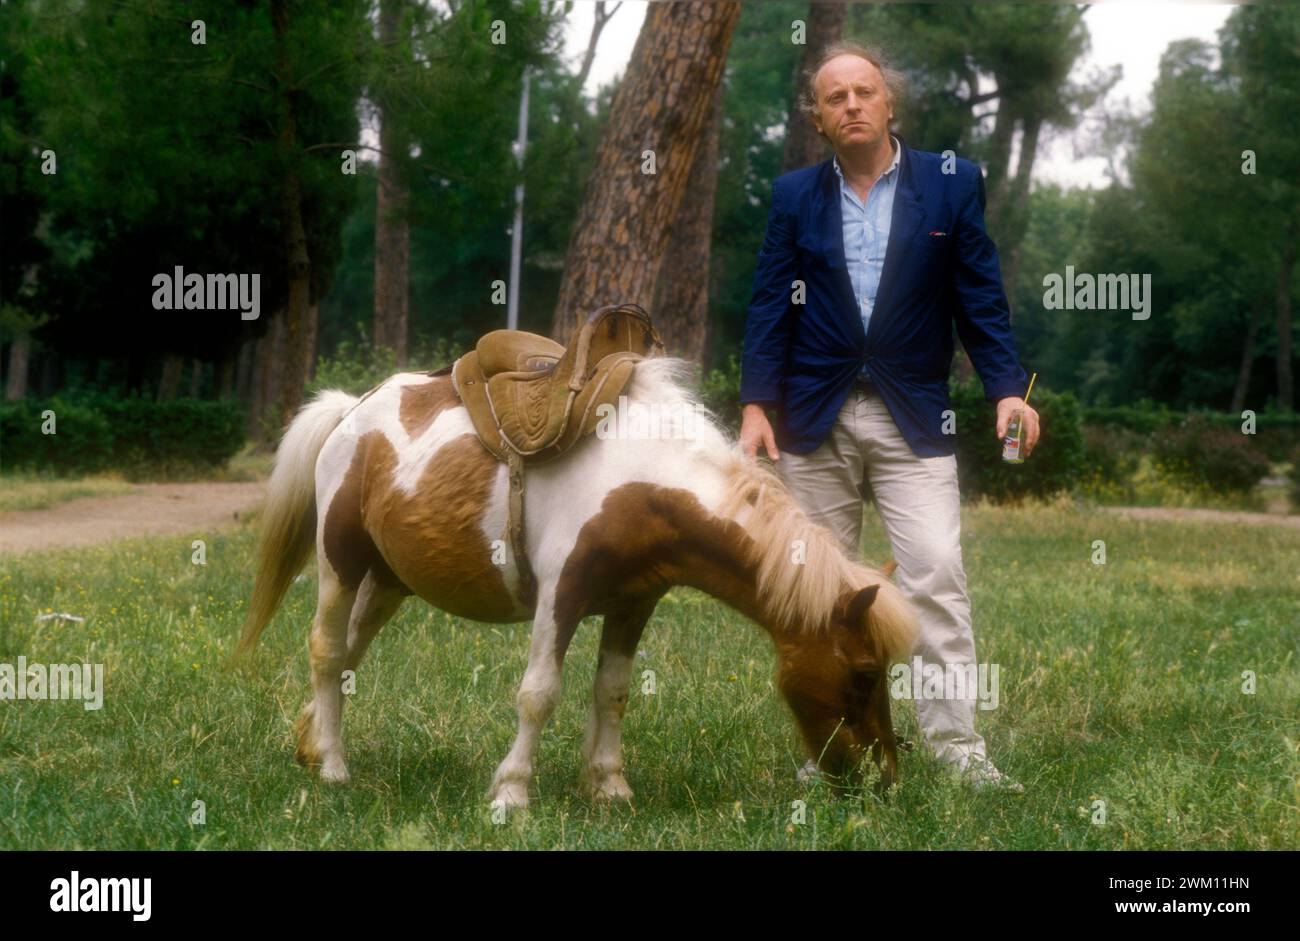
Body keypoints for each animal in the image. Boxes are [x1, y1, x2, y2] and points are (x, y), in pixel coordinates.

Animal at [236, 357, 918, 809]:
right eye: (864, 672)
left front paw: (609, 785)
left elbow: (612, 692)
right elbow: (538, 694)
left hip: (388, 582)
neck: (645, 481)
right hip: (341, 564)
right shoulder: (560, 597)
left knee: (349, 654)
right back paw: (333, 767)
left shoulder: (634, 605)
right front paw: (511, 794)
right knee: (328, 650)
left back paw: (311, 743)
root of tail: (351, 410)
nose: (885, 780)